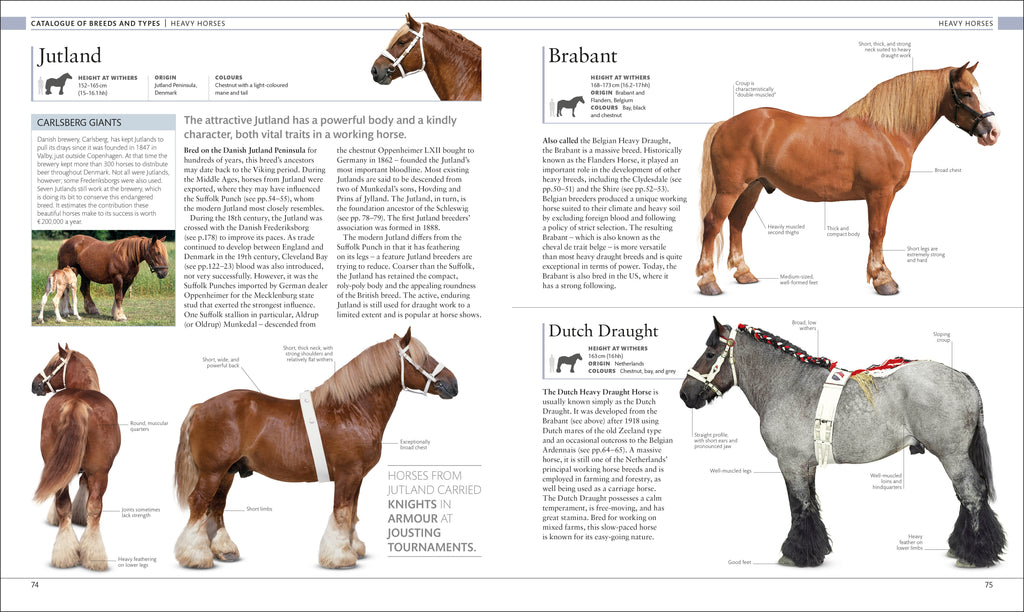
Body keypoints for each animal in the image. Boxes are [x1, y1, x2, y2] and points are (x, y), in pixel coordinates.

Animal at [31, 344, 121, 570]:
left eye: (53, 365)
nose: (35, 384)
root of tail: (76, 403)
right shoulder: (90, 471)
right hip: (100, 473)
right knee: (94, 508)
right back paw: (92, 556)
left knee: (64, 503)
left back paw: (66, 555)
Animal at [174, 328, 458, 569]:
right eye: (422, 357)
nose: (453, 384)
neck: (352, 410)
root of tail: (200, 406)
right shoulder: (347, 475)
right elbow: (342, 513)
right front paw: (341, 557)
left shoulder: (358, 477)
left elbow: (352, 512)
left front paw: (353, 548)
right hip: (212, 472)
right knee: (198, 503)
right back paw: (195, 556)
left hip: (228, 473)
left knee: (217, 506)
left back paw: (223, 551)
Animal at [679, 317, 1006, 568]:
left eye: (709, 354)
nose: (685, 393)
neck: (788, 384)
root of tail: (961, 378)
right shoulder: (806, 466)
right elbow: (810, 504)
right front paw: (815, 550)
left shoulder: (790, 463)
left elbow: (798, 505)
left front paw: (796, 554)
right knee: (966, 496)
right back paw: (961, 546)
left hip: (953, 456)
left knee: (972, 494)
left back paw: (975, 554)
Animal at [695, 63, 1000, 296]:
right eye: (966, 93)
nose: (992, 132)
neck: (886, 131)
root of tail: (725, 124)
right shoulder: (880, 193)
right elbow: (877, 232)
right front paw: (883, 279)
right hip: (730, 189)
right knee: (713, 223)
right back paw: (708, 282)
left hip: (752, 188)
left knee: (737, 224)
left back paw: (744, 273)